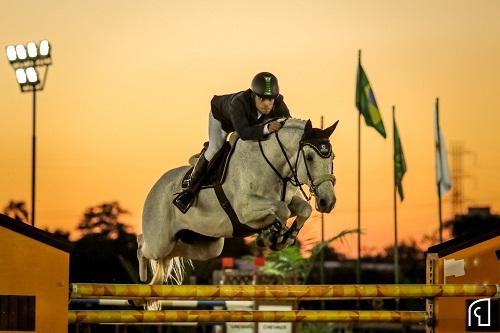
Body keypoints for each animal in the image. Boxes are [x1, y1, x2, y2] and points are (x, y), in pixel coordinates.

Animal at [138, 118, 340, 286]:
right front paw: (272, 236)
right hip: (160, 241)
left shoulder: (290, 200)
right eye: (310, 157)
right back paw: (142, 274)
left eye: (332, 157)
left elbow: (304, 209)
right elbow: (281, 209)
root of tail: (153, 189)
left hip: (206, 246)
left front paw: (286, 237)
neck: (273, 166)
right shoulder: (245, 211)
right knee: (143, 245)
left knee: (172, 254)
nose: (327, 202)